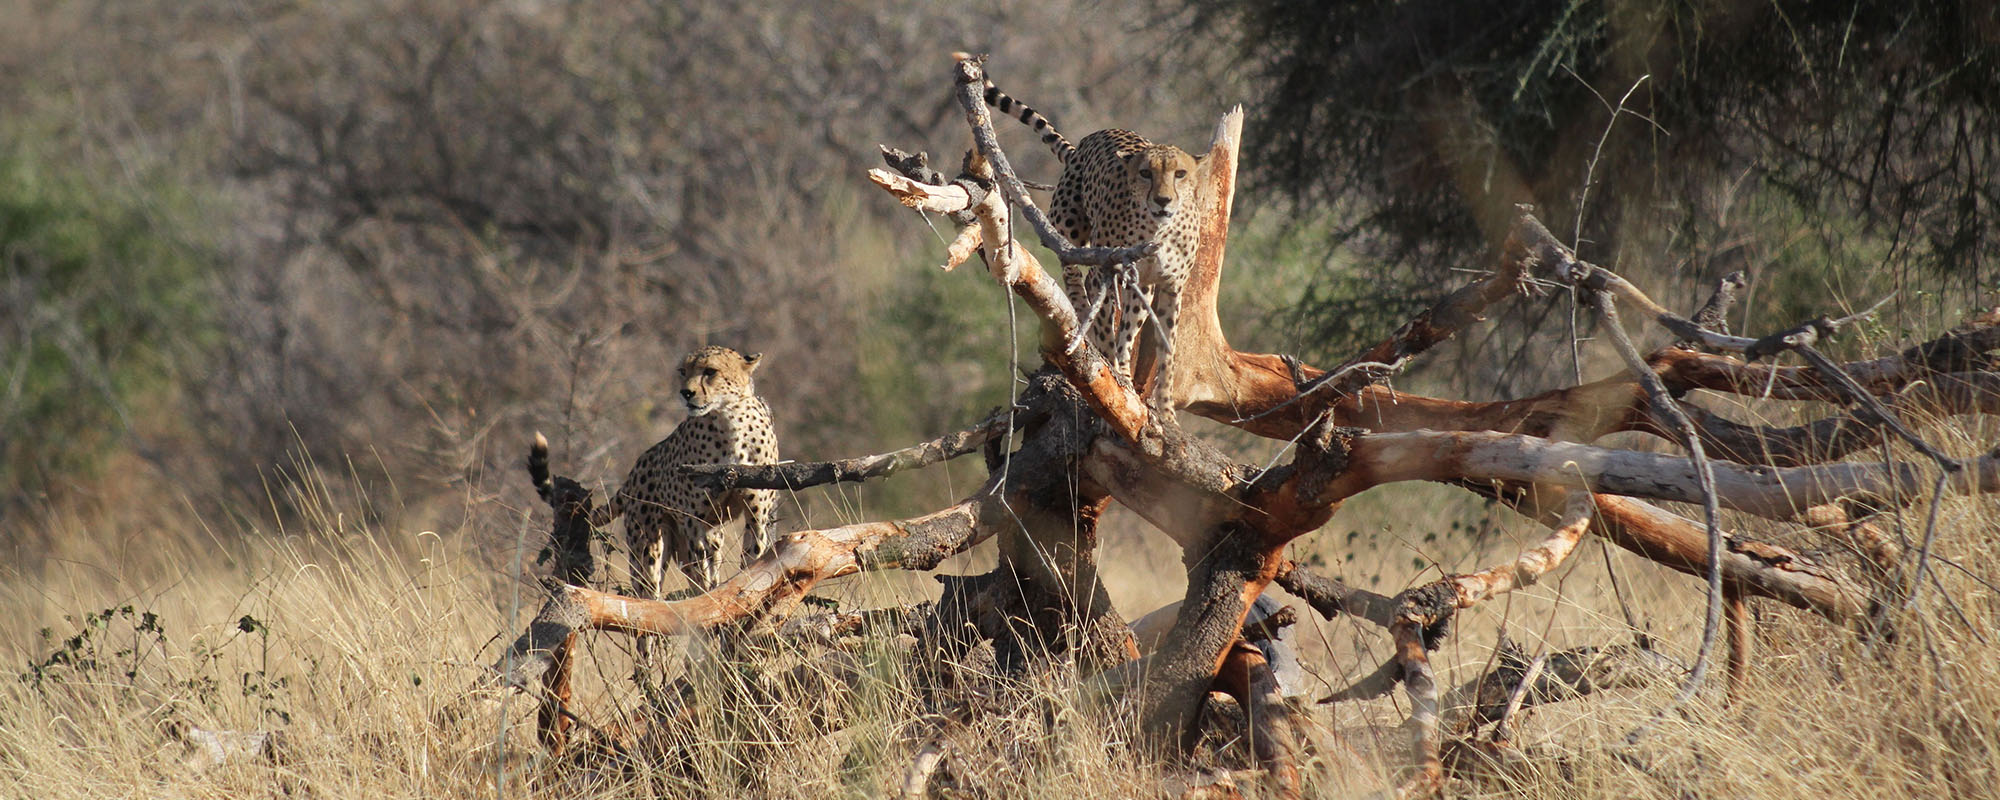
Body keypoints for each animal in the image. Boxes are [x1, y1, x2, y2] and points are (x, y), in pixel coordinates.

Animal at [588, 346, 776, 596]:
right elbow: (701, 572)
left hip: (711, 534)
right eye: (683, 371)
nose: (686, 392)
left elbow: (752, 558)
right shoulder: (693, 519)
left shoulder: (756, 514)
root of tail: (636, 467)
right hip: (648, 541)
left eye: (710, 371)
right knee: (649, 586)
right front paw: (709, 598)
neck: (729, 422)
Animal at [984, 78, 1200, 396]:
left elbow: (1132, 327)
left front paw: (1124, 371)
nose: (1162, 200)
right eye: (1145, 173)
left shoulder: (1153, 282)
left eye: (1180, 174)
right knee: (1069, 262)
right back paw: (1080, 304)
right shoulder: (1106, 269)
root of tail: (1091, 138)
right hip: (1068, 221)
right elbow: (1105, 322)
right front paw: (1110, 364)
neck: (1155, 227)